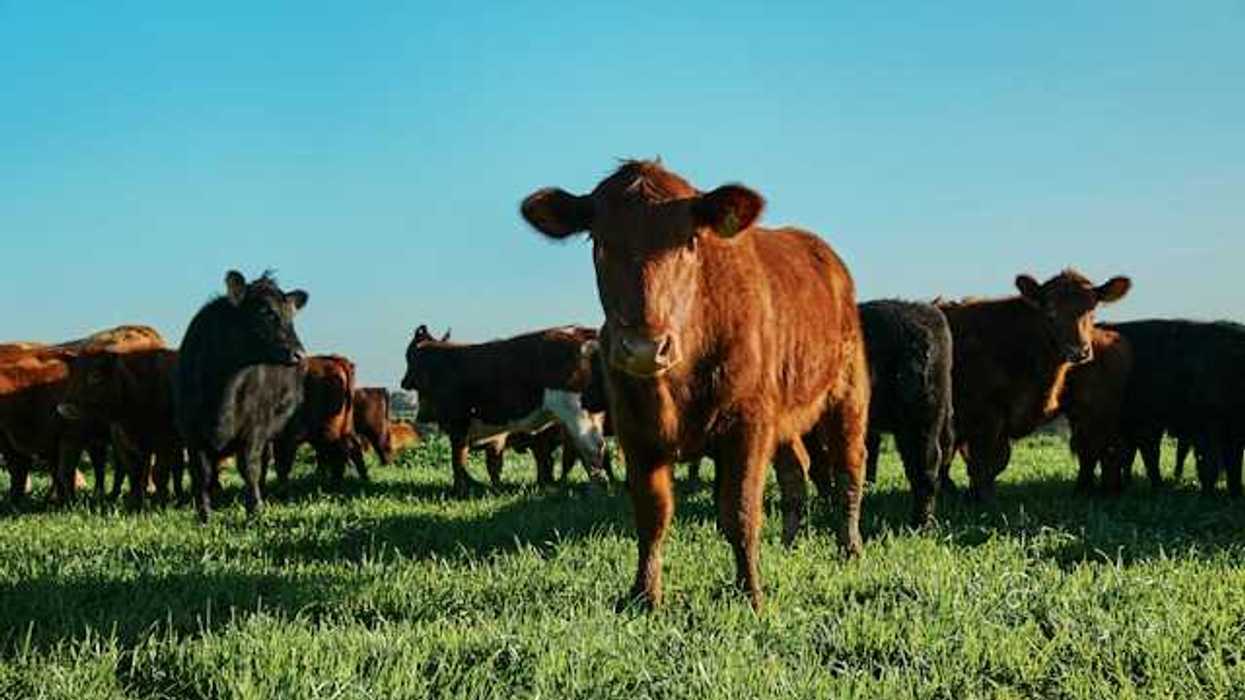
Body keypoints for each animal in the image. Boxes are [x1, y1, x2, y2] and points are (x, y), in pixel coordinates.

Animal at [57, 348, 185, 507]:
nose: (64, 407)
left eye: (96, 375)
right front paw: (135, 502)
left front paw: (159, 503)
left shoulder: (165, 442)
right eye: (72, 376)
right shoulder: (124, 442)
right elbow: (134, 473)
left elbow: (159, 473)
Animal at [175, 270, 309, 523]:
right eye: (265, 311)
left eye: (290, 316)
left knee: (276, 463)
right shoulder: (192, 433)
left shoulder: (255, 427)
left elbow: (249, 468)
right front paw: (205, 515)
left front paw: (255, 510)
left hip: (283, 428)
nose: (299, 354)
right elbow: (202, 473)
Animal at [400, 325, 609, 494]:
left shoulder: (457, 423)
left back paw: (595, 489)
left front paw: (460, 490)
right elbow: (488, 463)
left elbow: (458, 460)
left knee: (591, 449)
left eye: (408, 356)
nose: (403, 382)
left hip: (576, 413)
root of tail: (580, 331)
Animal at [521, 159, 869, 610]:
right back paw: (790, 543)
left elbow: (739, 511)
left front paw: (751, 594)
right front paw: (645, 594)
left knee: (849, 468)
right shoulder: (635, 431)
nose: (644, 347)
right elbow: (652, 515)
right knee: (796, 469)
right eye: (599, 241)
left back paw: (850, 547)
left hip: (848, 392)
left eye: (689, 241)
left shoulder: (747, 424)